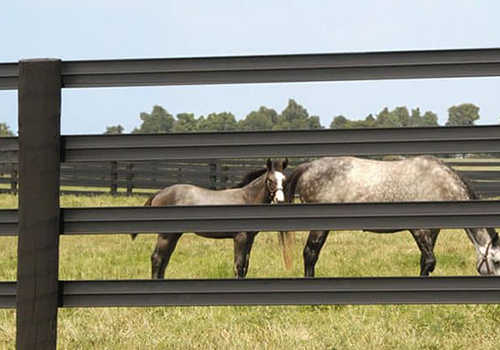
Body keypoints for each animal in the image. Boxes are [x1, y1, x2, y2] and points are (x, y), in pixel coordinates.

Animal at [133, 159, 290, 278]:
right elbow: (238, 265)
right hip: (165, 235)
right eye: (270, 180)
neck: (247, 198)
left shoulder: (250, 238)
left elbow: (245, 266)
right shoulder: (240, 237)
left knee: (164, 260)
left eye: (284, 180)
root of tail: (159, 192)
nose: (280, 200)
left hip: (174, 235)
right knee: (157, 258)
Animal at [286, 157, 500, 278]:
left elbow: (425, 261)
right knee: (310, 254)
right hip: (319, 228)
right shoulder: (419, 230)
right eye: (496, 262)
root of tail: (309, 166)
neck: (439, 183)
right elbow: (429, 261)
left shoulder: (433, 231)